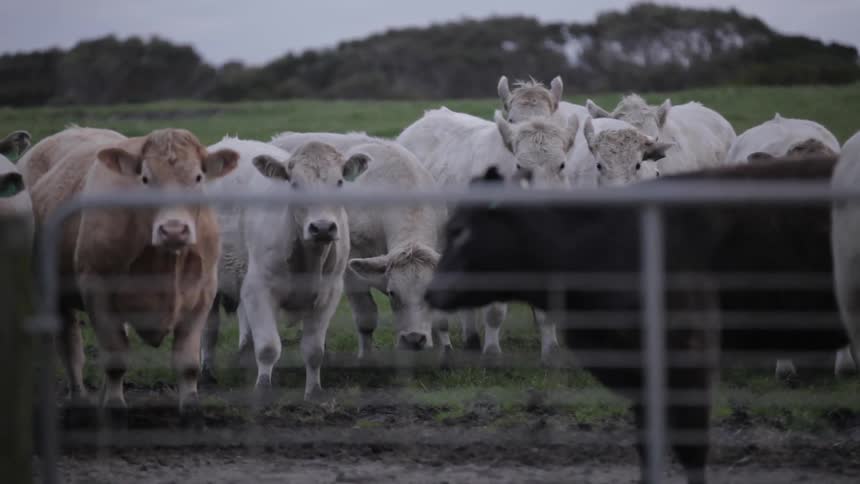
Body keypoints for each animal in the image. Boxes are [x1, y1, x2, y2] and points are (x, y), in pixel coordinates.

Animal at [20, 127, 238, 410]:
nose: (174, 230)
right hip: (52, 290)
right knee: (69, 345)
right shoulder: (96, 290)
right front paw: (114, 404)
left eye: (198, 177)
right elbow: (116, 357)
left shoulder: (203, 292)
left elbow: (188, 363)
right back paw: (79, 397)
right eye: (145, 178)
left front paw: (190, 406)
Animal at [205, 138, 368, 398]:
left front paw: (313, 391)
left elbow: (314, 351)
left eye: (340, 182)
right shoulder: (258, 289)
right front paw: (263, 390)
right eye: (294, 184)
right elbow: (268, 347)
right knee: (209, 331)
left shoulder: (329, 294)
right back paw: (206, 374)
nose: (322, 227)